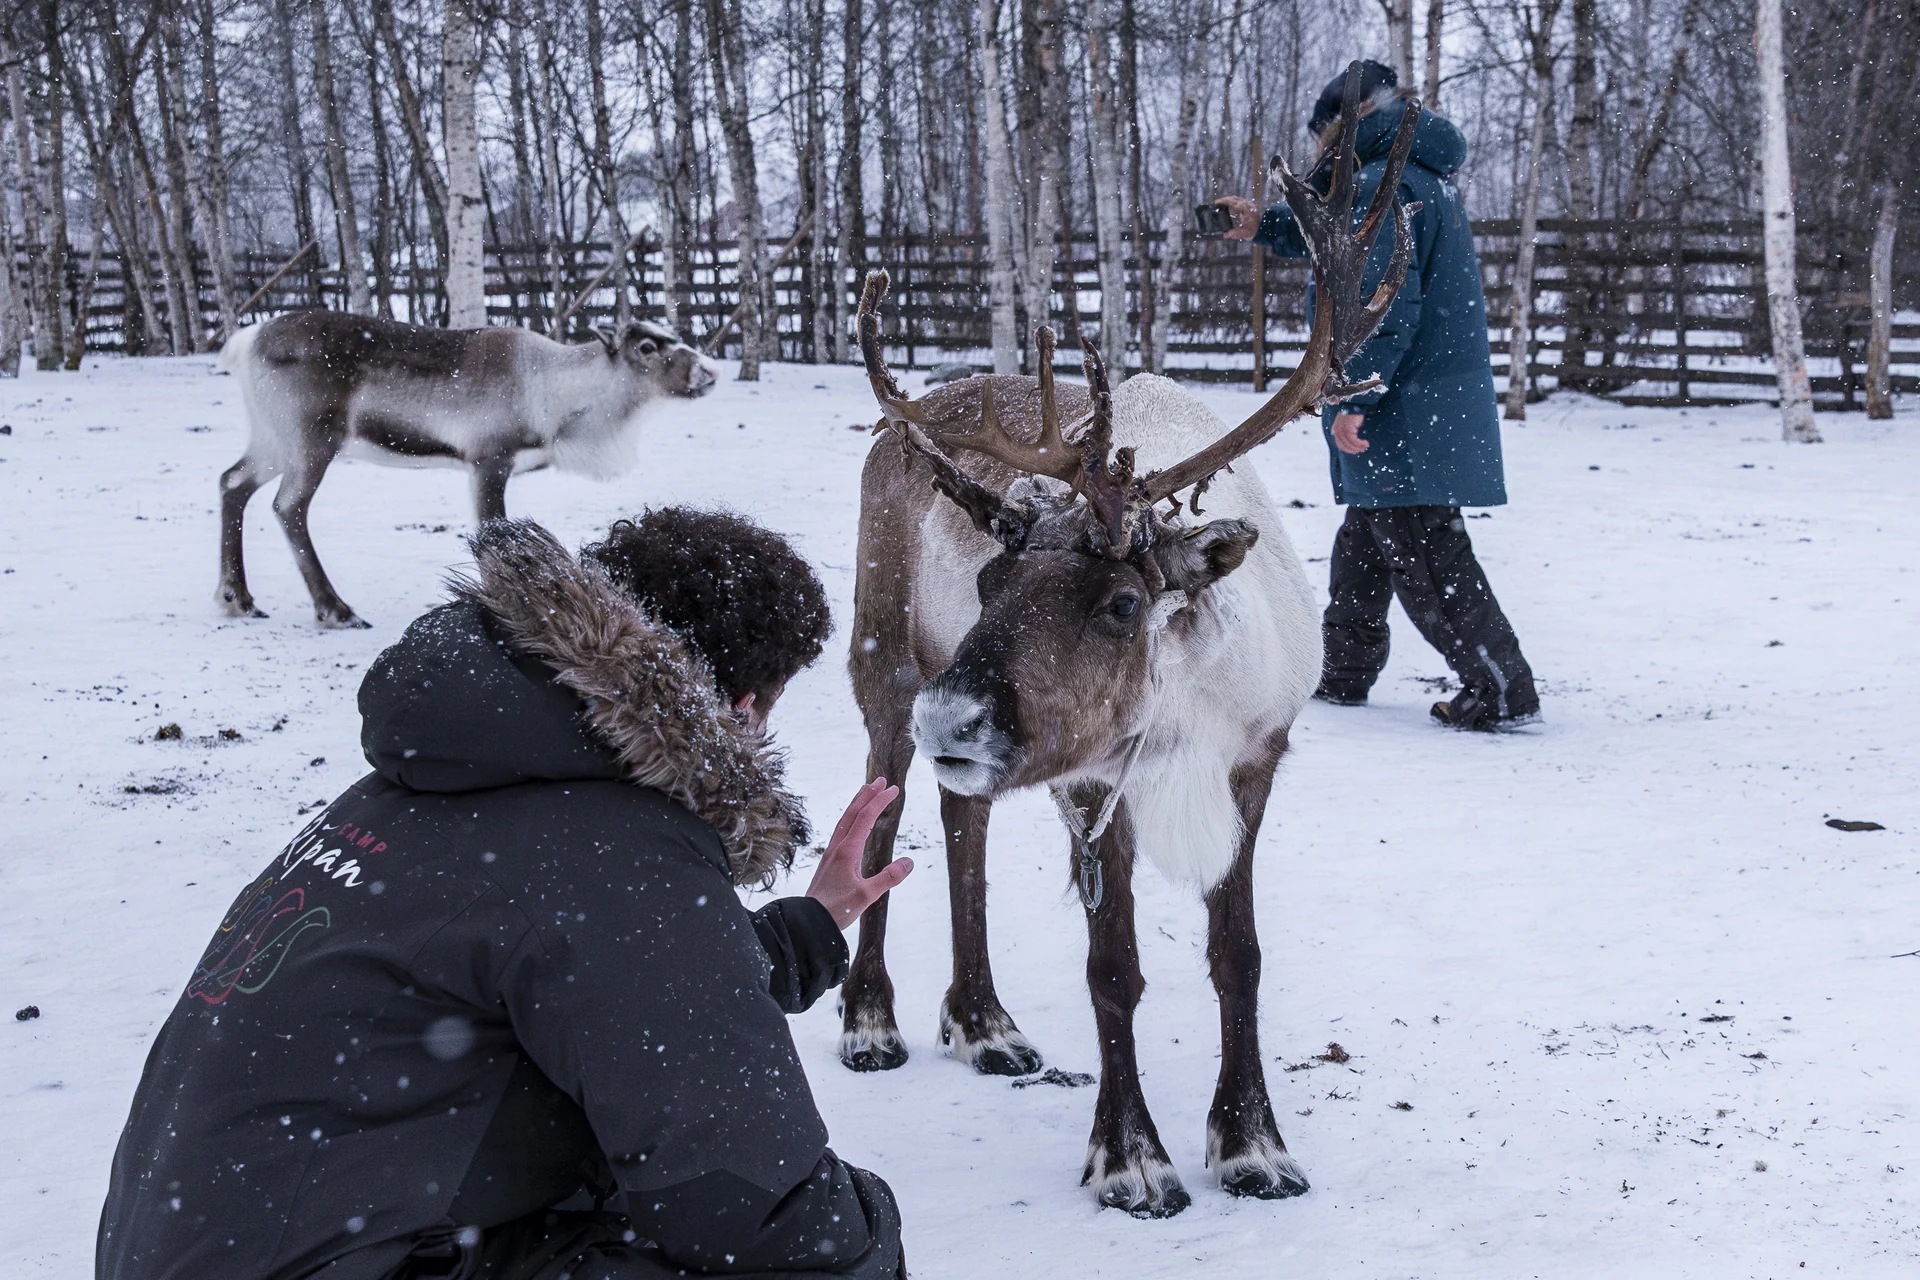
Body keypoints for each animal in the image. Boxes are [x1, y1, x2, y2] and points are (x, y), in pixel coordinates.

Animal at [213, 312, 717, 628]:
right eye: (647, 346)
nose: (709, 371)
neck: (556, 398)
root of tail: (244, 342)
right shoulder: (488, 459)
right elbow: (492, 533)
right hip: (312, 439)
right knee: (288, 505)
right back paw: (335, 609)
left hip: (273, 440)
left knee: (232, 482)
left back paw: (236, 597)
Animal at [837, 68, 1419, 1218]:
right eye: (993, 577)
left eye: (1117, 603)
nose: (950, 716)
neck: (1185, 703)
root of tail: (906, 417)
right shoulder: (1091, 778)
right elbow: (1115, 971)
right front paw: (1133, 1159)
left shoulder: (1256, 759)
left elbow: (1237, 954)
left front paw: (1253, 1145)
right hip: (885, 659)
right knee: (882, 820)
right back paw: (872, 1021)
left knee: (962, 826)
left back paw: (986, 1024)